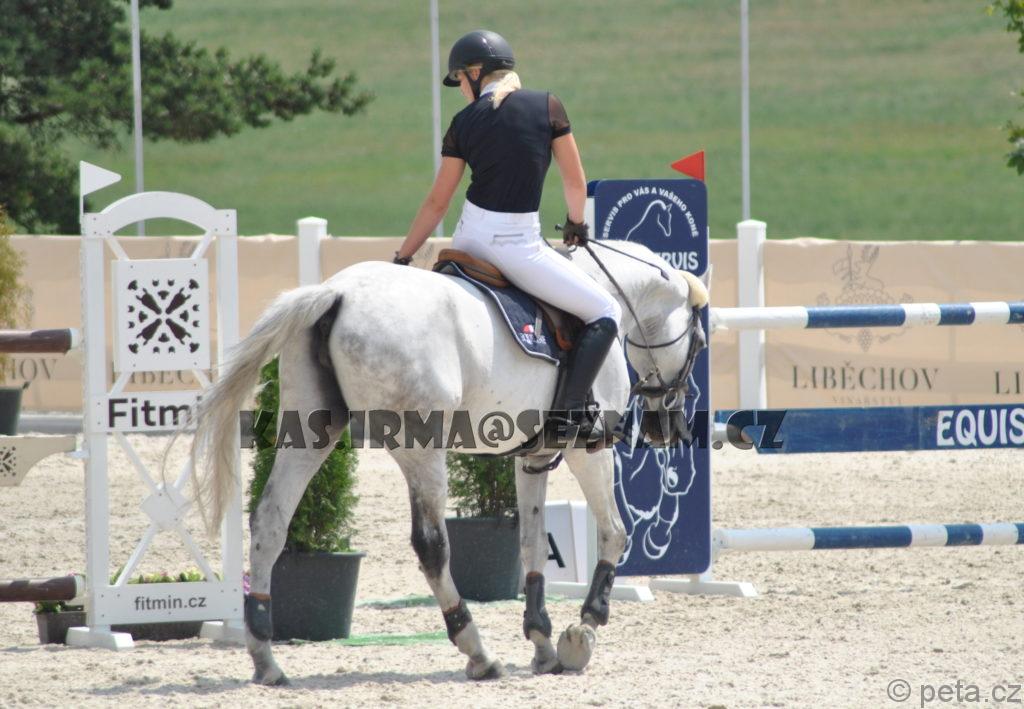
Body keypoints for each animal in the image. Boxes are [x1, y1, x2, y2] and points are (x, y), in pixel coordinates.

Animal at [188, 239, 708, 685]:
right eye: (700, 342)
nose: (667, 427)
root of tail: (337, 293)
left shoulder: (533, 456)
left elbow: (531, 544)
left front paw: (541, 642)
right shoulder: (589, 450)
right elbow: (615, 531)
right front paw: (583, 630)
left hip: (311, 433)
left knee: (270, 521)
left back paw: (265, 658)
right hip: (421, 447)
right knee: (431, 545)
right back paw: (477, 650)